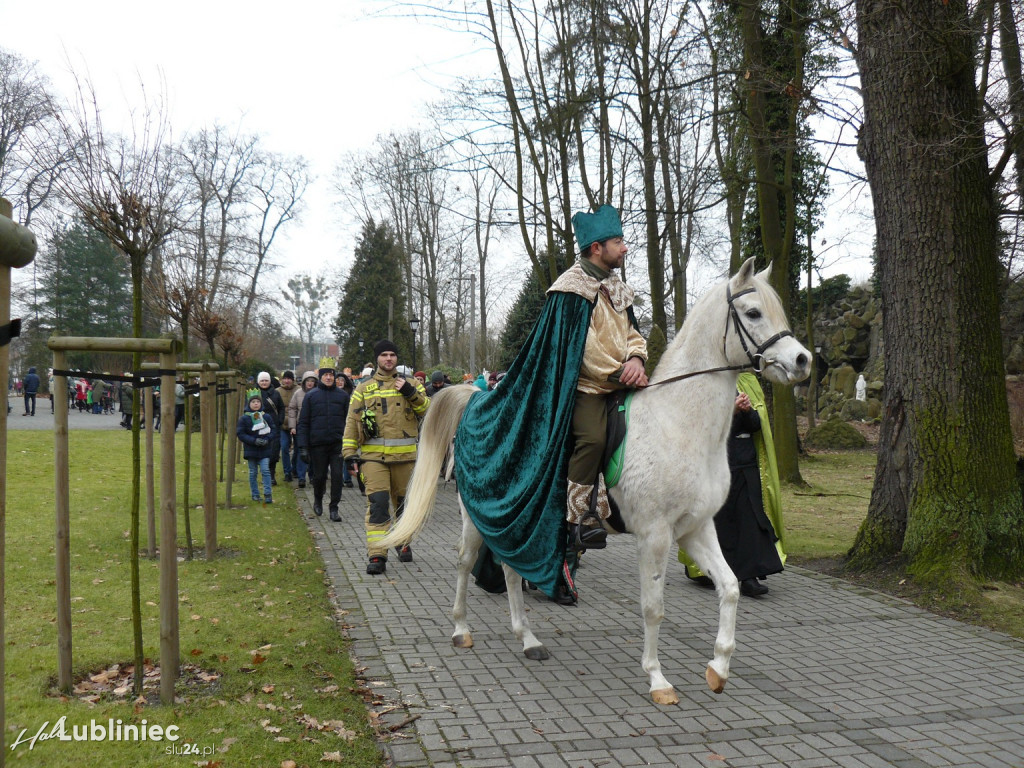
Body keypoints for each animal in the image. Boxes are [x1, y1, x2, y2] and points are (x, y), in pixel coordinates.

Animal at [380, 260, 811, 708]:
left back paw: (528, 639)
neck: (678, 424)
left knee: (512, 570)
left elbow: (729, 588)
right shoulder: (654, 534)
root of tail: (477, 401)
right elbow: (653, 607)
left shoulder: (695, 528)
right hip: (478, 516)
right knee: (466, 562)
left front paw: (719, 668)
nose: (803, 361)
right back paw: (461, 629)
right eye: (753, 313)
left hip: (516, 522)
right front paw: (658, 679)